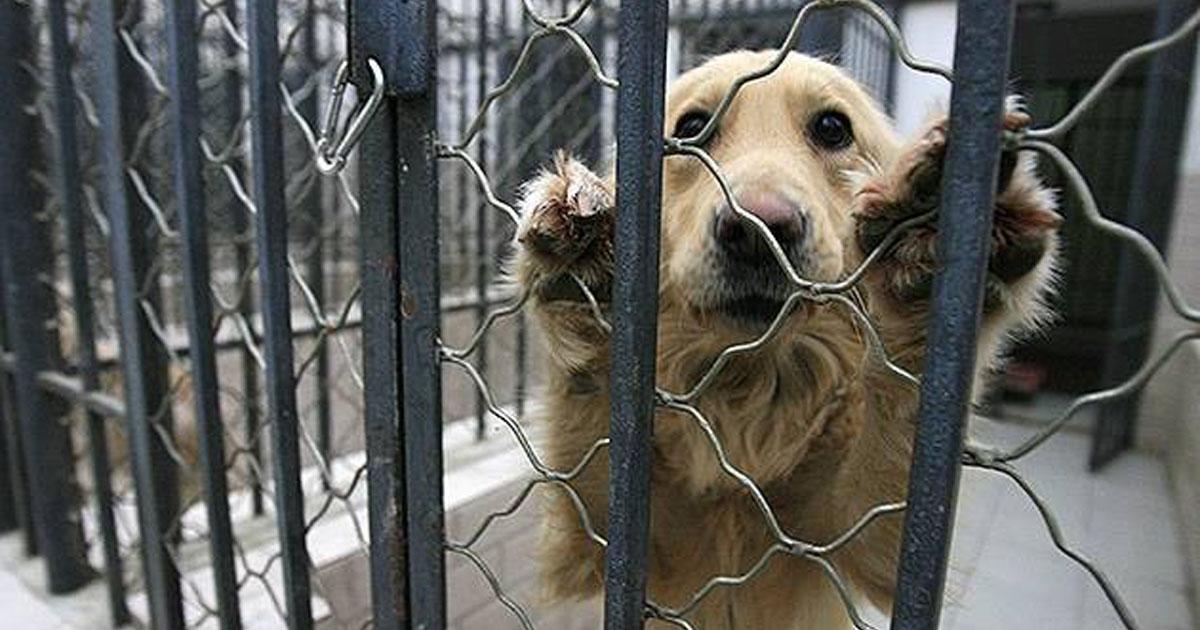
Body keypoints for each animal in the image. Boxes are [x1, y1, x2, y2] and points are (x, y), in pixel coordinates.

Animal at [511, 51, 1056, 624]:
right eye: (692, 127)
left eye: (833, 127)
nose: (758, 231)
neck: (748, 394)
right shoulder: (597, 541)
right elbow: (588, 414)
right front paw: (582, 269)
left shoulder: (872, 543)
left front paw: (920, 256)